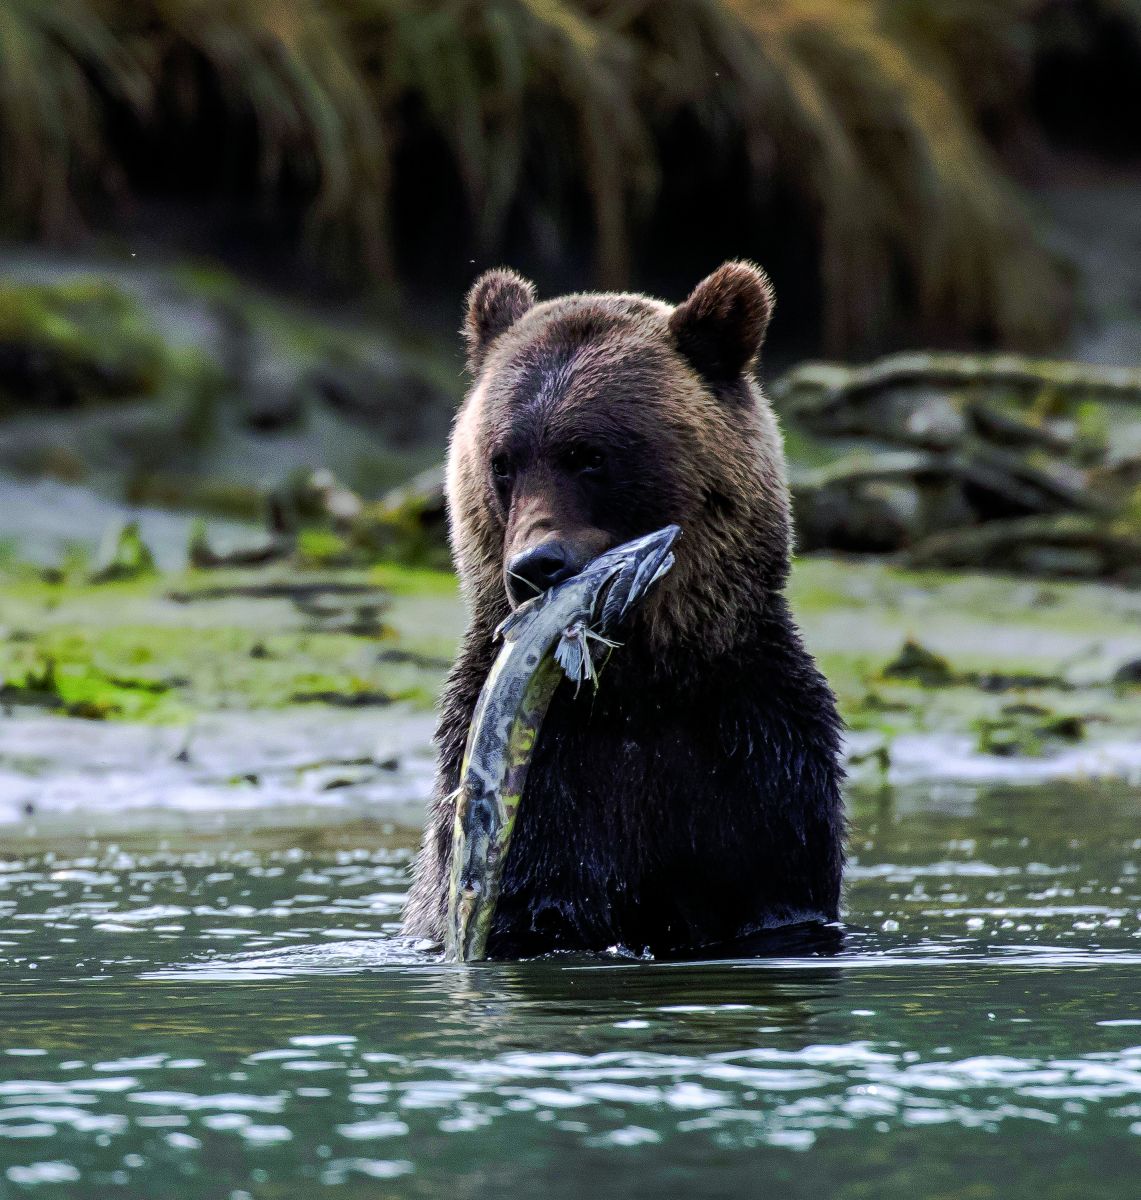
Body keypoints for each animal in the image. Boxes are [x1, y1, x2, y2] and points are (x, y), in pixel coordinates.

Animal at [405, 262, 844, 955]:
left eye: (590, 455)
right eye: (502, 462)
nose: (534, 566)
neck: (637, 686)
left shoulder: (759, 760)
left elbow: (776, 889)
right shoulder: (545, 785)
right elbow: (537, 899)